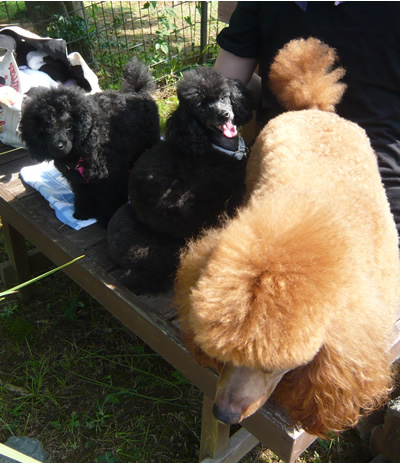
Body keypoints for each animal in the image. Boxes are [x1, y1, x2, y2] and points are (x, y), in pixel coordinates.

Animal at [19, 57, 160, 226]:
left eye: (69, 126)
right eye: (46, 128)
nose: (58, 147)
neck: (79, 156)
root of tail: (137, 91)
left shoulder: (111, 179)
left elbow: (110, 199)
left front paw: (107, 220)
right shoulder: (79, 182)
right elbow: (83, 197)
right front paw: (83, 213)